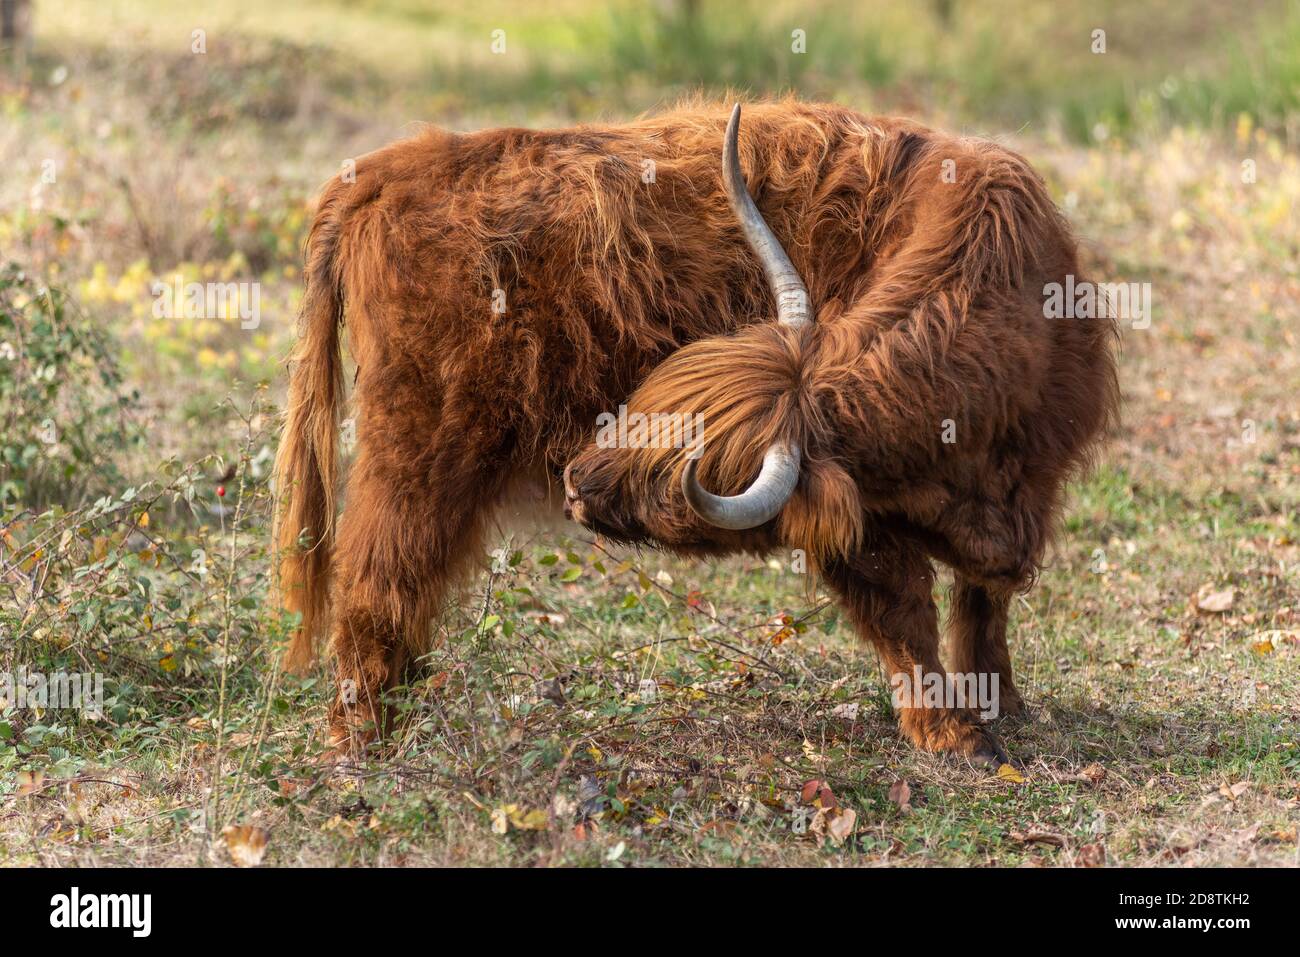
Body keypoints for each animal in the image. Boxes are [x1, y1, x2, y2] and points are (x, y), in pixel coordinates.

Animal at [274, 100, 1118, 765]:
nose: (576, 481)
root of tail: (383, 170)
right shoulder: (861, 524)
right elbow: (907, 616)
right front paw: (956, 736)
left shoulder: (1026, 487)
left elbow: (983, 604)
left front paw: (1003, 704)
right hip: (417, 445)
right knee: (378, 575)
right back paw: (362, 740)